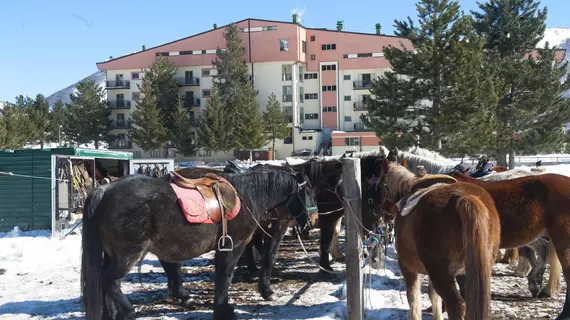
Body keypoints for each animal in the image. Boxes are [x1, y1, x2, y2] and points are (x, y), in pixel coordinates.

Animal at [80, 166, 318, 318]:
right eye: (307, 191)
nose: (313, 219)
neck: (247, 197)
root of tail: (104, 190)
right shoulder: (234, 247)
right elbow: (226, 277)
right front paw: (224, 310)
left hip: (113, 255)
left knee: (108, 283)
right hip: (126, 256)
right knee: (110, 280)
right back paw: (129, 312)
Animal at [372, 156, 496, 318]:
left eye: (381, 185)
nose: (379, 212)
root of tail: (465, 197)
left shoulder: (407, 267)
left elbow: (413, 299)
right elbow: (434, 297)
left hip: (441, 274)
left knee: (456, 305)